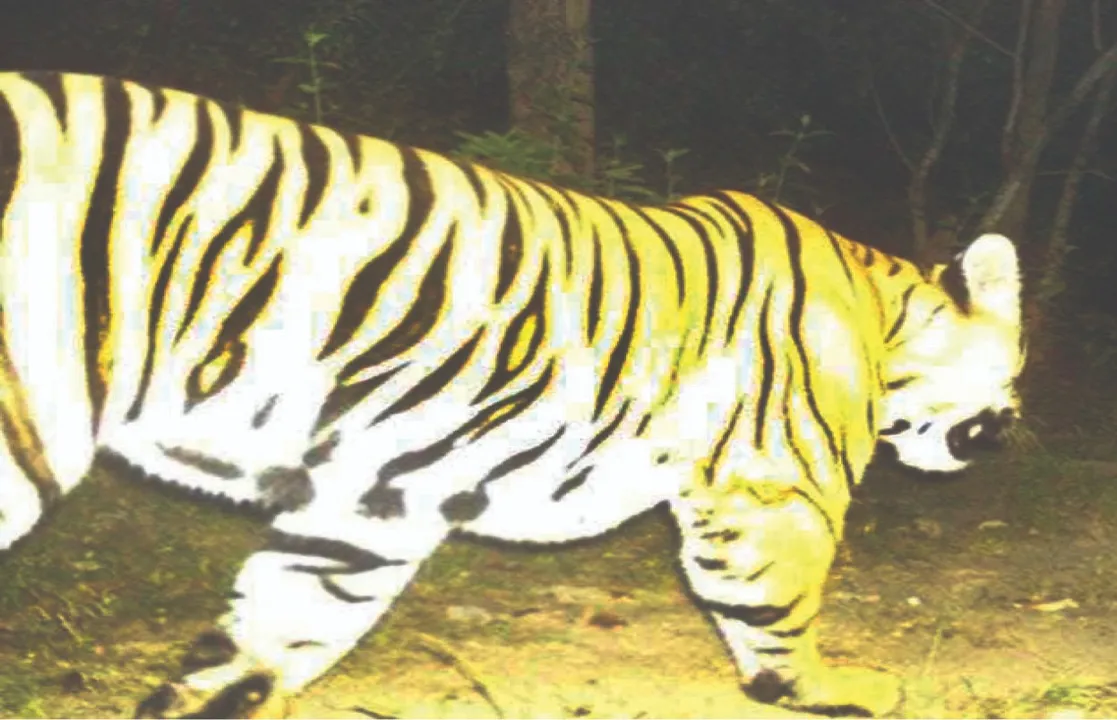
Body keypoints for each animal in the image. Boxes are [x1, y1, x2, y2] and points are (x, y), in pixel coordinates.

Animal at [0, 71, 1024, 718]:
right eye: (1014, 372)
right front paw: (841, 689)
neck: (879, 321)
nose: (1014, 428)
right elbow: (780, 615)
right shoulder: (771, 494)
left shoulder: (368, 506)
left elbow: (279, 626)